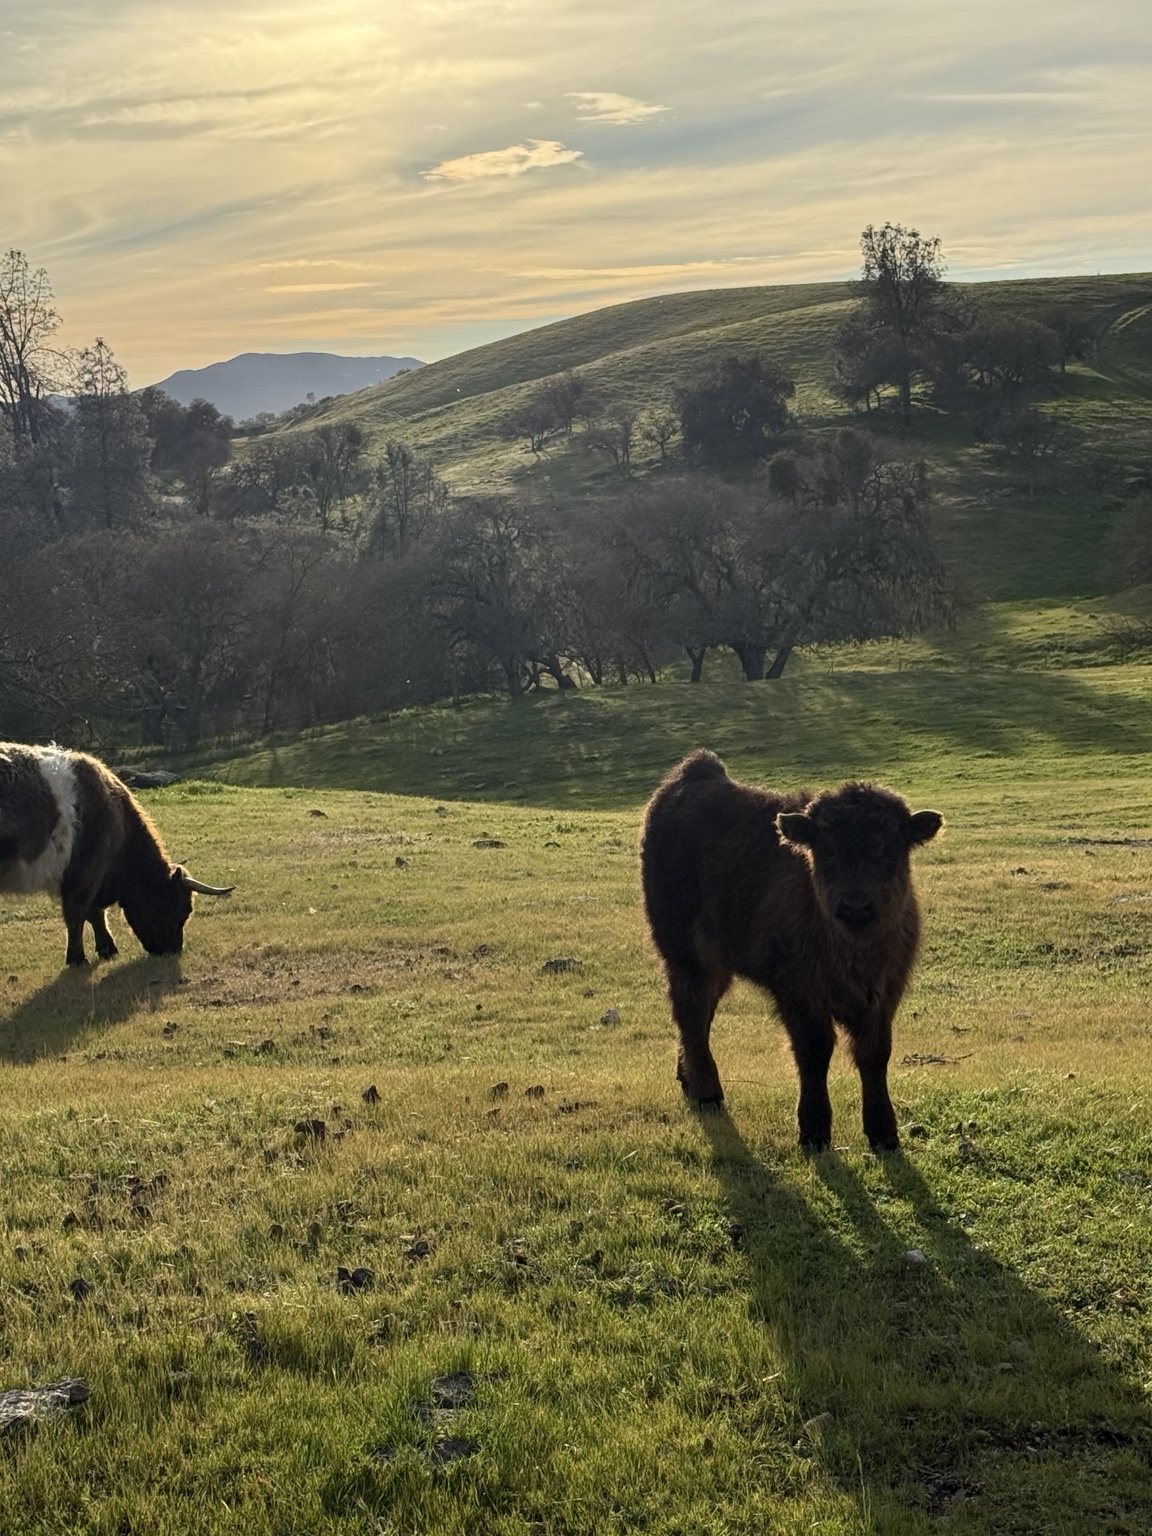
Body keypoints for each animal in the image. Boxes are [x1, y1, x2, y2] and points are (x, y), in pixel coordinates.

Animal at [0, 742, 234, 968]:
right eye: (181, 909)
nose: (173, 950)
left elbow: (95, 914)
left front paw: (107, 949)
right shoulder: (85, 874)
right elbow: (77, 915)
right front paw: (77, 959)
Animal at [641, 750, 942, 1151]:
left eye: (889, 850)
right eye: (826, 849)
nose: (856, 905)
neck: (855, 952)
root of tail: (696, 774)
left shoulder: (883, 994)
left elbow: (875, 1054)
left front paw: (883, 1134)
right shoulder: (799, 993)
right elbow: (815, 1051)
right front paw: (814, 1131)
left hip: (715, 963)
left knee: (698, 1017)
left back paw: (689, 1081)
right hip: (685, 952)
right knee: (690, 1011)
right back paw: (707, 1093)